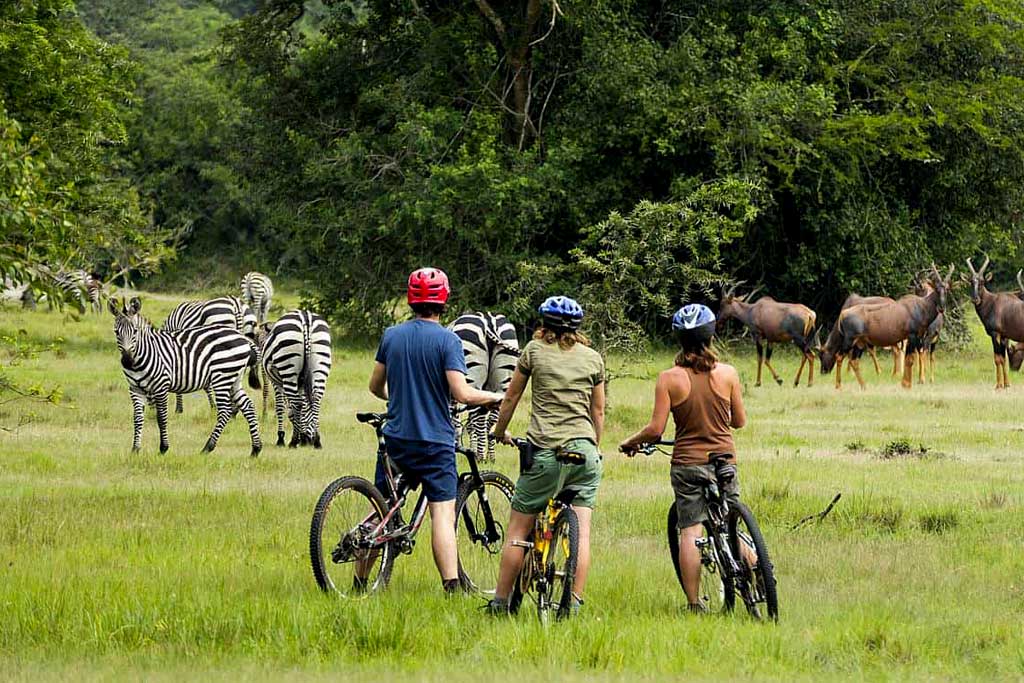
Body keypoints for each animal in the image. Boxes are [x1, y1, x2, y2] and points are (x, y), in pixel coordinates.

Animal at [109, 296, 264, 456]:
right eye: (116, 332)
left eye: (135, 331)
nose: (127, 361)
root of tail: (242, 337)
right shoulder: (135, 389)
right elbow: (138, 418)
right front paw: (135, 449)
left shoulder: (161, 385)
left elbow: (161, 417)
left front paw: (163, 448)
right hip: (234, 378)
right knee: (248, 406)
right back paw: (255, 449)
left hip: (222, 377)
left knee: (224, 411)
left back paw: (207, 447)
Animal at [260, 309, 331, 448]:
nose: (309, 441)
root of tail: (305, 317)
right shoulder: (301, 383)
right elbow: (301, 406)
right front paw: (303, 436)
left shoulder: (277, 383)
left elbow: (282, 407)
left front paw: (282, 438)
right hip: (320, 364)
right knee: (316, 399)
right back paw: (317, 440)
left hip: (288, 367)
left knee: (297, 403)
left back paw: (293, 441)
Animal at [448, 311, 520, 462]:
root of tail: (489, 321)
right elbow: (467, 423)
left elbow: (456, 421)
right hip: (503, 382)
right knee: (491, 418)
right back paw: (490, 457)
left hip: (472, 377)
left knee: (479, 418)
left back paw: (480, 457)